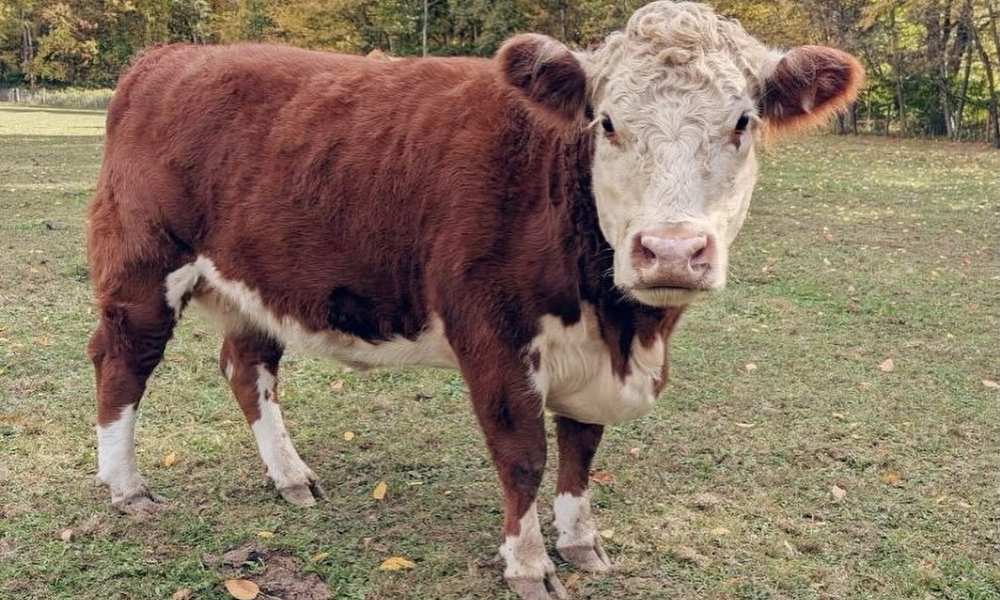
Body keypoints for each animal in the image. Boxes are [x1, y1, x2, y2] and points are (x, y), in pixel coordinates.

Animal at [90, 2, 864, 596]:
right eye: (608, 122)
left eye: (742, 122)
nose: (671, 250)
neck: (623, 329)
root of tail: (166, 58)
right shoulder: (492, 335)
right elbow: (522, 454)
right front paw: (527, 565)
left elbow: (581, 449)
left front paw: (580, 542)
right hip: (142, 267)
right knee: (121, 363)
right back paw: (126, 489)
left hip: (254, 283)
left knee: (247, 369)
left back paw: (291, 478)